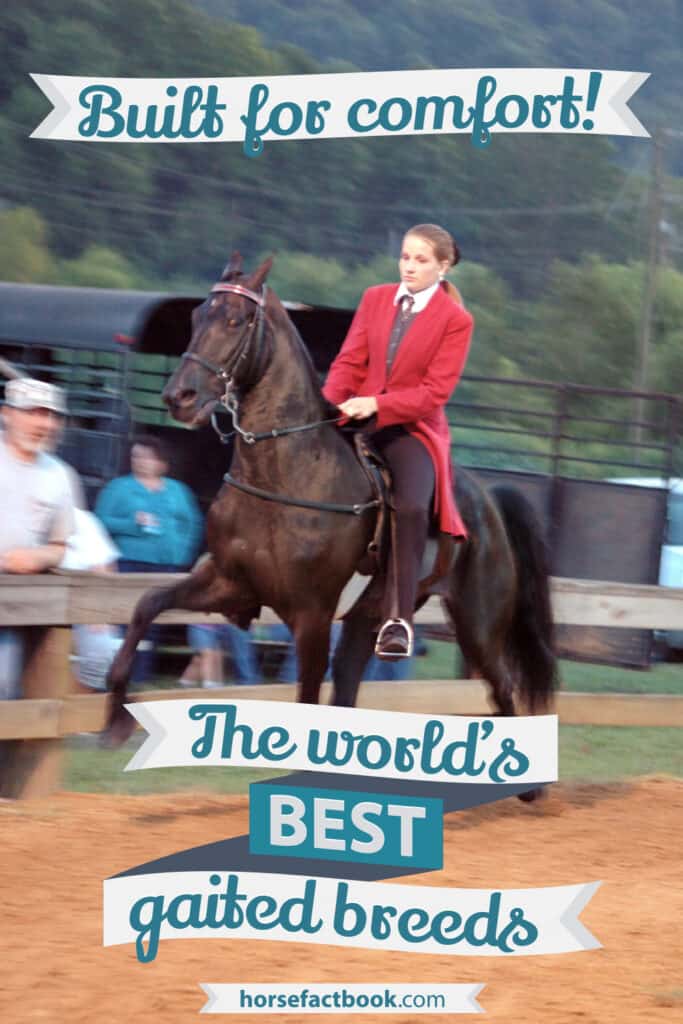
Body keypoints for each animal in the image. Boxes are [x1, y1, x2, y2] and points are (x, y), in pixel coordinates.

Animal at [104, 253, 558, 791]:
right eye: (197, 316)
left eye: (237, 320)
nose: (181, 397)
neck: (285, 472)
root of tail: (488, 502)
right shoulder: (229, 583)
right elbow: (147, 605)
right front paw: (115, 714)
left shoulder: (311, 614)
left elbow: (306, 696)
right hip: (368, 619)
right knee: (349, 686)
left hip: (478, 622)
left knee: (502, 686)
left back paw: (528, 788)